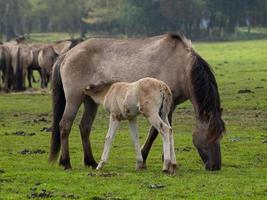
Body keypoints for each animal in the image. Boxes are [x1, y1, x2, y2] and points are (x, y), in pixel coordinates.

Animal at [49, 33, 225, 171]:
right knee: (65, 125)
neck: (180, 65)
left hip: (90, 101)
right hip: (74, 98)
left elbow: (165, 130)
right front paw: (150, 157)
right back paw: (66, 162)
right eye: (209, 135)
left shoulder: (169, 105)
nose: (215, 166)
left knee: (84, 127)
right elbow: (155, 132)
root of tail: (67, 55)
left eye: (220, 136)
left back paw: (90, 161)